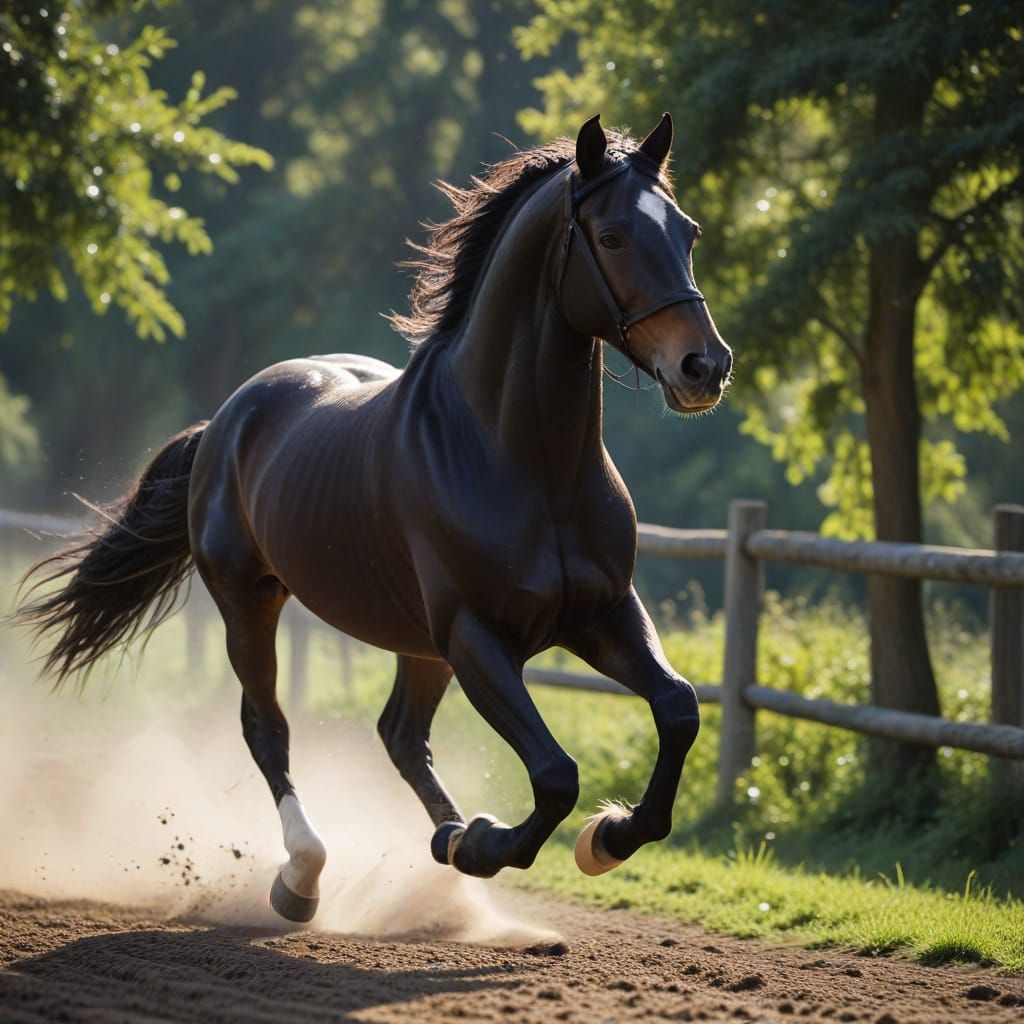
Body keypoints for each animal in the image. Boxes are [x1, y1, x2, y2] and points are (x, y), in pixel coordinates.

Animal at [17, 113, 732, 923]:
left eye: (687, 231)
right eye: (611, 236)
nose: (705, 368)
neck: (523, 461)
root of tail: (227, 418)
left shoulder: (601, 613)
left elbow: (677, 709)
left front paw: (603, 839)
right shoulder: (477, 636)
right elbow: (555, 774)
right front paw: (490, 843)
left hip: (415, 642)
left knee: (398, 734)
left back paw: (442, 839)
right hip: (250, 605)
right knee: (269, 729)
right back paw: (303, 877)